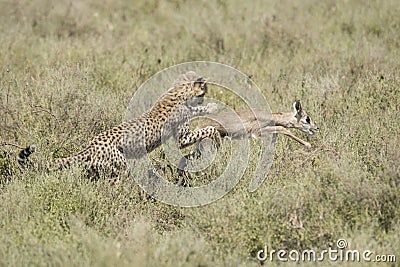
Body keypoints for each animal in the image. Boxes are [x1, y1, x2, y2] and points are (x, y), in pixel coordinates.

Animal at [18, 71, 219, 178]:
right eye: (203, 92)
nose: (203, 98)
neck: (178, 93)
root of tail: (91, 145)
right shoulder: (182, 138)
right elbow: (206, 128)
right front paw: (215, 123)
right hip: (121, 166)